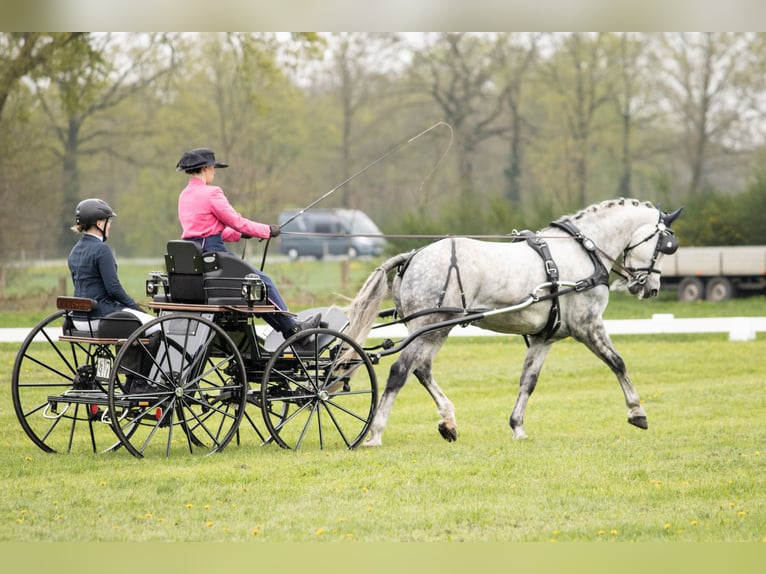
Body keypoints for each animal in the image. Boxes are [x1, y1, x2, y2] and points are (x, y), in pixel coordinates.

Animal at [344, 200, 680, 448]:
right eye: (665, 245)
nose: (650, 288)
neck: (584, 251)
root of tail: (413, 256)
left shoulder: (545, 337)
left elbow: (528, 380)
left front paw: (517, 427)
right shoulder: (588, 326)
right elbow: (618, 363)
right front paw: (637, 412)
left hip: (433, 329)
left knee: (421, 369)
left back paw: (448, 422)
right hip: (432, 326)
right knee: (400, 371)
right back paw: (375, 432)